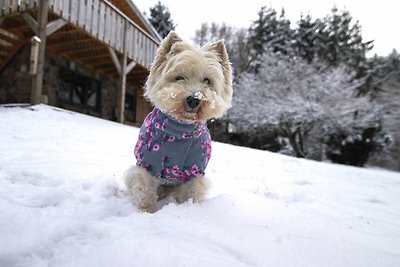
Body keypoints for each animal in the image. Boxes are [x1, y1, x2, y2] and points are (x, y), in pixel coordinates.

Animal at [123, 30, 233, 214]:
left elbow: (191, 193)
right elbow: (145, 191)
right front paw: (147, 212)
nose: (194, 99)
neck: (180, 132)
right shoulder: (148, 164)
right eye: (179, 77)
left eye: (207, 81)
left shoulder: (195, 171)